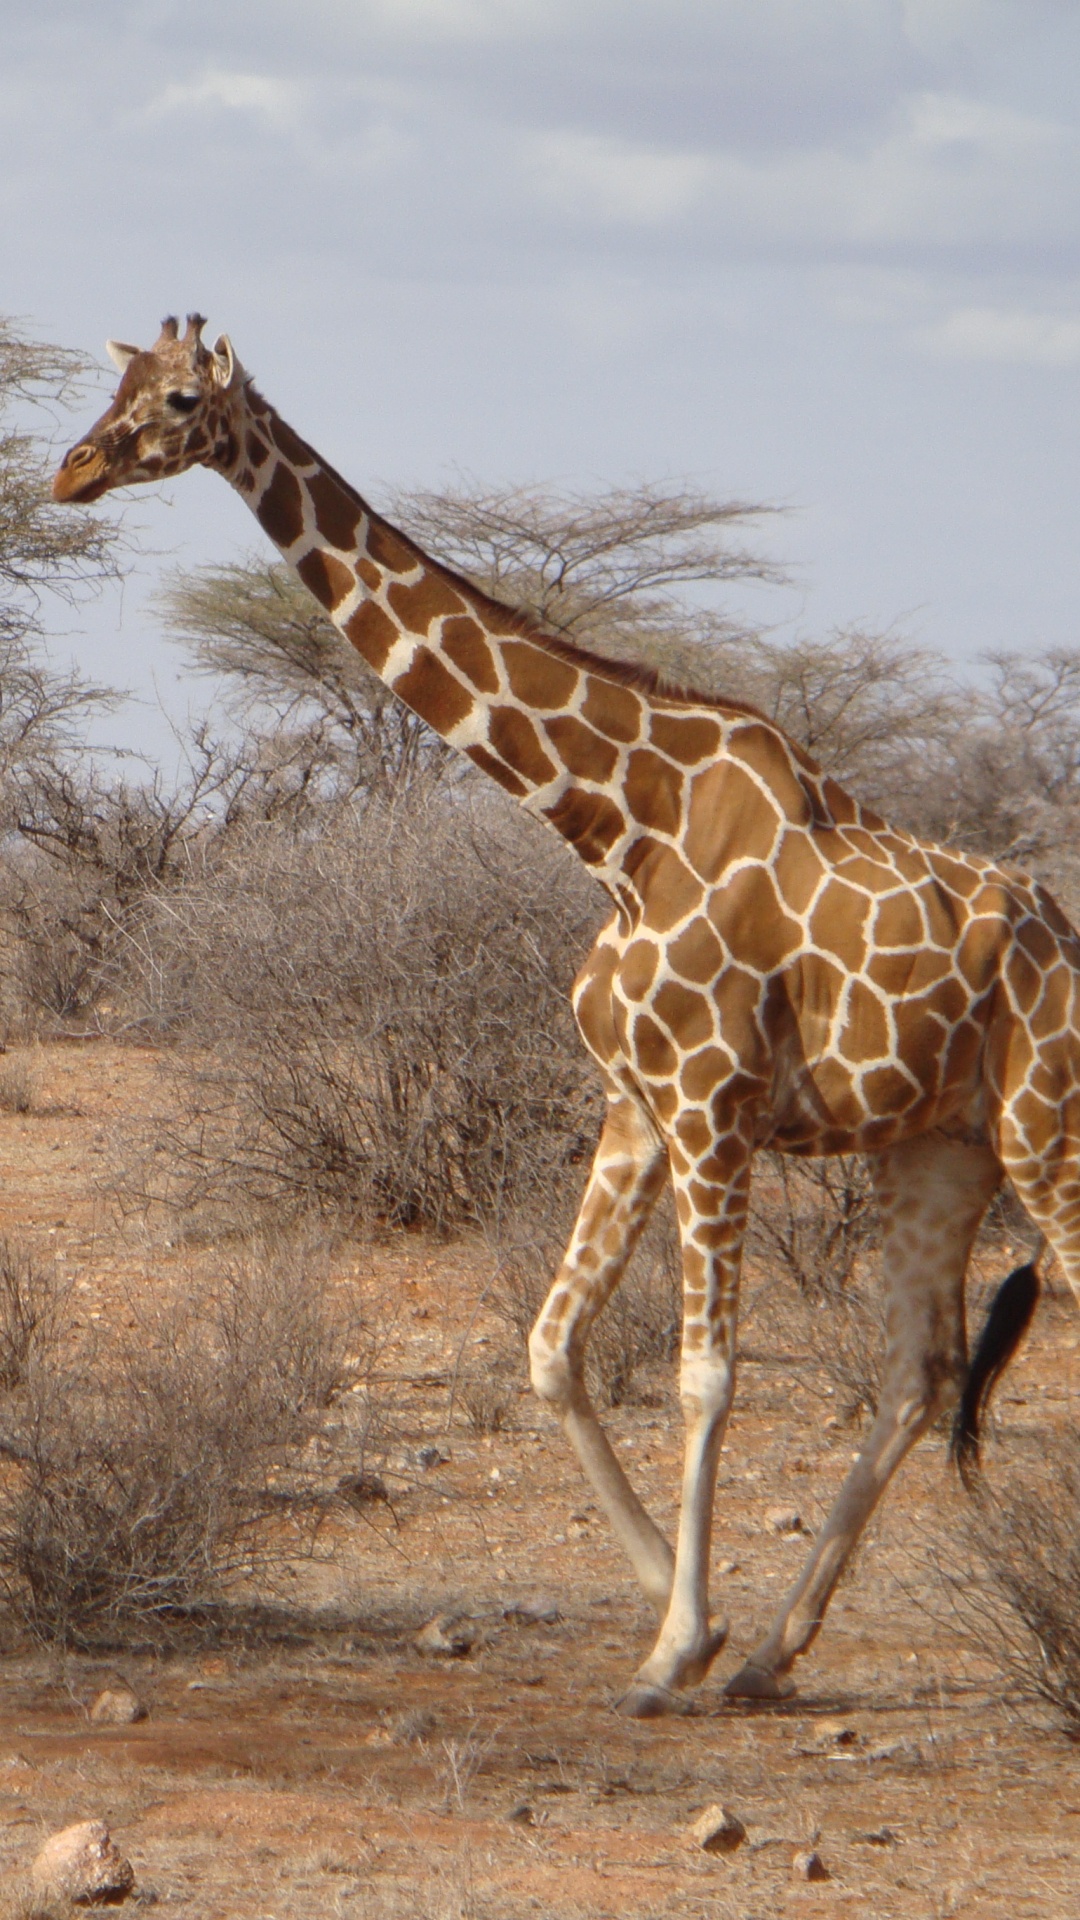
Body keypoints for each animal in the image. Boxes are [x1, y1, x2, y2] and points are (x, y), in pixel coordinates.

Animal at [53, 314, 1074, 1716]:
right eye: (117, 383)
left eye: (179, 401)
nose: (72, 471)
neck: (618, 827)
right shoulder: (634, 1106)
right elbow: (549, 1347)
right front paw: (695, 1627)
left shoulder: (713, 1111)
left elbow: (704, 1377)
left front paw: (669, 1651)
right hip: (944, 1151)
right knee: (919, 1375)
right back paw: (773, 1655)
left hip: (1047, 1130)